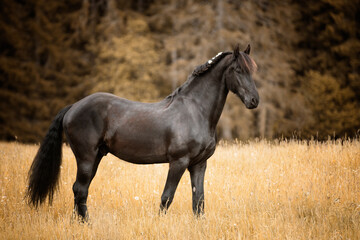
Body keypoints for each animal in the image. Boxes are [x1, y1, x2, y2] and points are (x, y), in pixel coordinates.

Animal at [28, 44, 258, 220]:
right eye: (238, 70)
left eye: (252, 71)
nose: (254, 101)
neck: (195, 111)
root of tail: (73, 107)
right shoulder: (179, 161)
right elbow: (167, 197)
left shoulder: (199, 164)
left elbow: (198, 200)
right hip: (86, 157)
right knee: (80, 189)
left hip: (96, 157)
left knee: (80, 190)